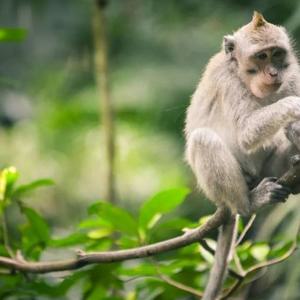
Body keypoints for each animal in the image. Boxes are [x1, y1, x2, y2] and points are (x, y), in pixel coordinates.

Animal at [184, 11, 300, 300]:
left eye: (276, 54)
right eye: (261, 56)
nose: (273, 72)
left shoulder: (292, 73)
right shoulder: (228, 81)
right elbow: (247, 131)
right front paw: (297, 107)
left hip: (270, 169)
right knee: (203, 140)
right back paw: (250, 203)